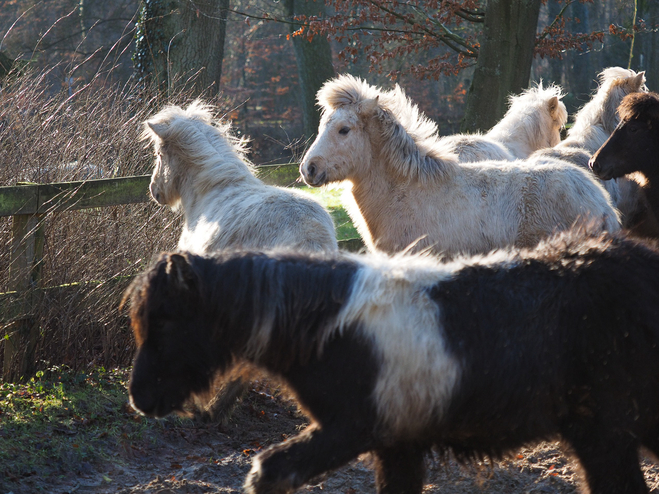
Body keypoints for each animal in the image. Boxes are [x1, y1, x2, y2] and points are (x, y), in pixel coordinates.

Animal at [126, 232, 659, 494]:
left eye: (166, 320)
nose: (139, 398)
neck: (332, 329)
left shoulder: (351, 429)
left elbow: (268, 472)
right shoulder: (398, 444)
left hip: (608, 433)